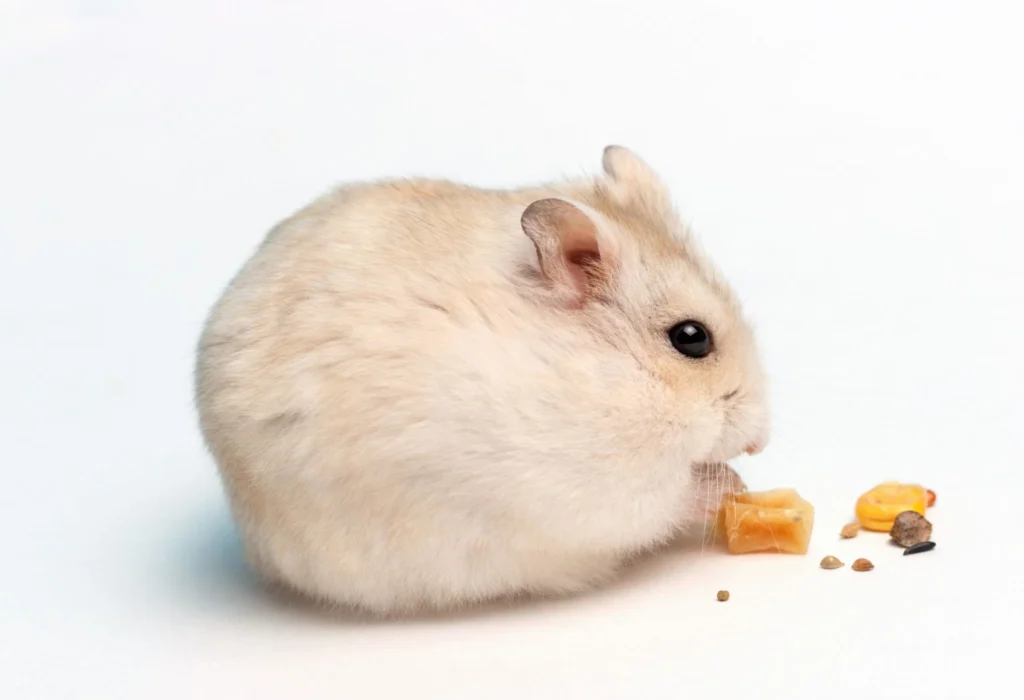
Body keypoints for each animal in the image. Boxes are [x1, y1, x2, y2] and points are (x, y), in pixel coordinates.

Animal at [194, 146, 769, 615]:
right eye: (692, 338)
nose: (761, 442)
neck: (611, 369)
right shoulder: (601, 487)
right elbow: (671, 493)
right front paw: (732, 485)